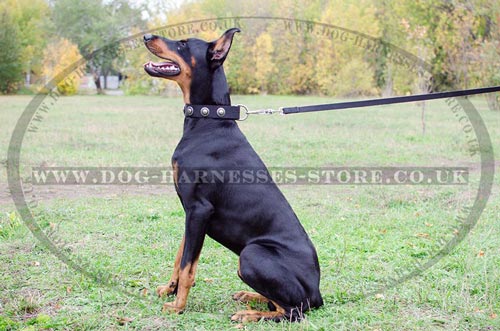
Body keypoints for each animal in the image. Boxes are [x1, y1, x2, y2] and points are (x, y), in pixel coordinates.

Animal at [143, 28, 322, 324]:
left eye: (183, 44)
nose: (146, 36)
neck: (208, 121)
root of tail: (318, 292)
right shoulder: (190, 213)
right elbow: (180, 257)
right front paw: (169, 289)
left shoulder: (199, 209)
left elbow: (188, 267)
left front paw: (178, 306)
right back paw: (250, 296)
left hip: (252, 253)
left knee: (293, 311)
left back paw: (248, 314)